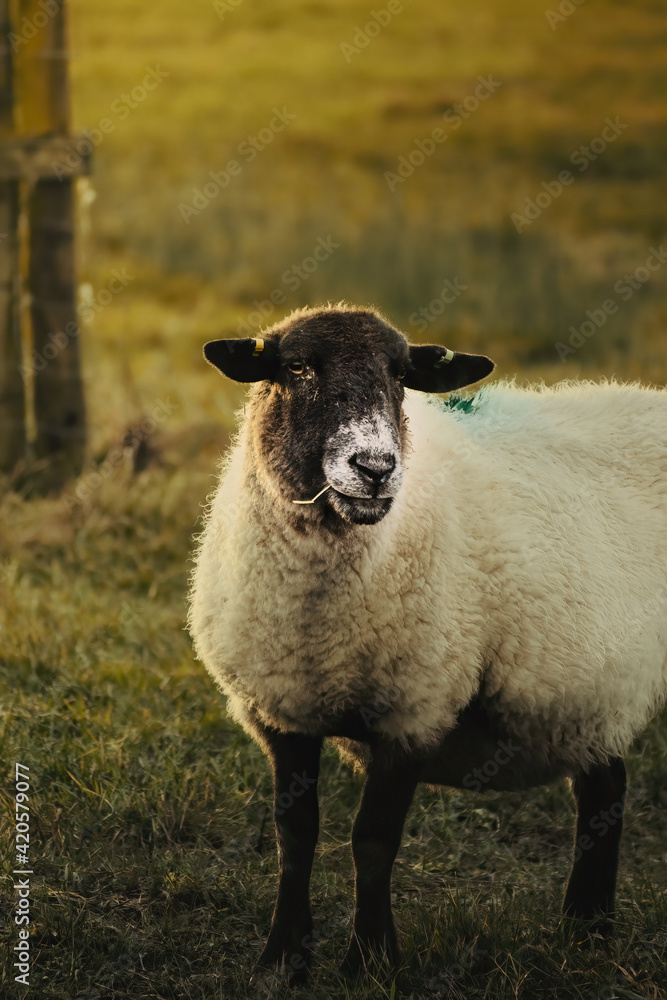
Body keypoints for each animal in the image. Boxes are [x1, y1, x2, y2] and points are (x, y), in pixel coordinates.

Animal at [187, 300, 667, 980]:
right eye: (298, 368)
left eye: (398, 375)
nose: (375, 469)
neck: (322, 626)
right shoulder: (283, 711)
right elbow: (294, 837)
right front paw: (282, 956)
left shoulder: (414, 707)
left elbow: (372, 841)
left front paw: (369, 960)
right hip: (589, 691)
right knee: (605, 788)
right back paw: (586, 930)